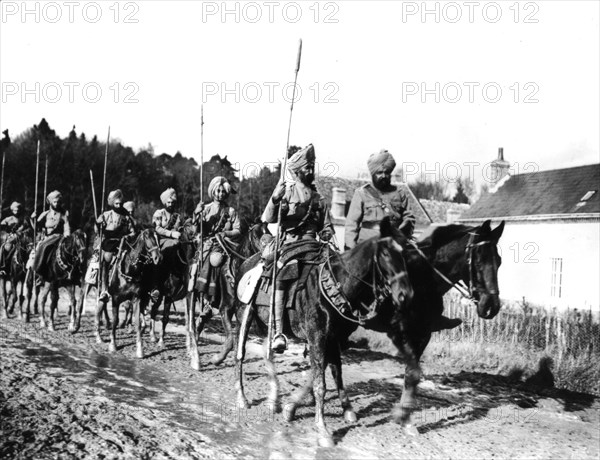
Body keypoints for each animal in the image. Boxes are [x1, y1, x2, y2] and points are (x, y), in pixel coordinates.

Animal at [92, 228, 162, 358]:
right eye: (148, 237)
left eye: (158, 238)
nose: (158, 258)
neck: (130, 270)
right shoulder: (115, 299)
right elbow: (115, 321)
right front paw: (113, 345)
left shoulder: (137, 299)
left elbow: (138, 323)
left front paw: (140, 350)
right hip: (100, 292)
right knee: (98, 310)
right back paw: (98, 336)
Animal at [186, 223, 270, 370]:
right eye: (257, 236)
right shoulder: (225, 308)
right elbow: (231, 339)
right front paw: (216, 359)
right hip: (192, 292)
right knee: (192, 322)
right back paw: (195, 358)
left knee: (201, 321)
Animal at [233, 218, 502, 446]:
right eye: (479, 261)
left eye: (498, 261)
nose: (491, 306)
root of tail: (249, 261)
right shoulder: (398, 333)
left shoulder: (417, 335)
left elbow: (410, 374)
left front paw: (403, 419)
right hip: (247, 315)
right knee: (243, 353)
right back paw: (248, 398)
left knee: (272, 354)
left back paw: (277, 399)